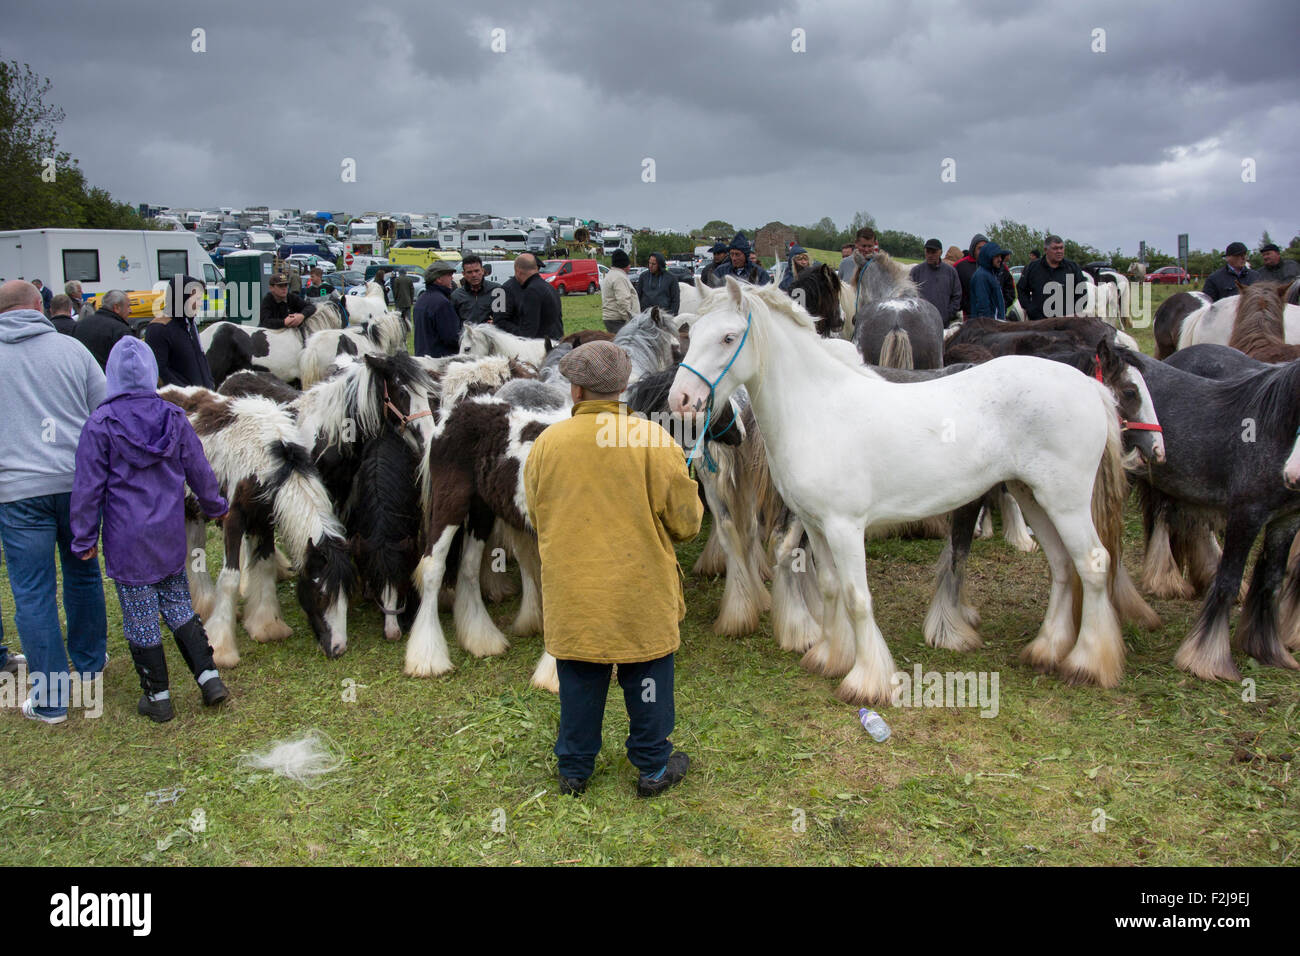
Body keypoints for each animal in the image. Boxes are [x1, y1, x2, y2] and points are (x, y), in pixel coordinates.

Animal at [159, 387, 355, 668]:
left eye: (346, 593)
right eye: (321, 594)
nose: (338, 648)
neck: (264, 460)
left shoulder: (263, 520)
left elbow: (264, 565)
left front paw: (266, 625)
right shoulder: (233, 519)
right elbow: (230, 578)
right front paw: (221, 648)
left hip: (193, 511)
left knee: (194, 552)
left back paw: (204, 605)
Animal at [670, 278, 1131, 704]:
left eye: (728, 337)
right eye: (691, 332)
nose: (681, 399)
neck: (819, 408)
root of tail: (1091, 387)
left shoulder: (844, 528)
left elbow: (857, 597)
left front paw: (867, 682)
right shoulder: (815, 527)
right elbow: (830, 588)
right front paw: (830, 657)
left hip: (1066, 502)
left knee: (1092, 563)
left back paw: (1088, 663)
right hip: (1032, 495)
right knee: (1062, 565)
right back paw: (1046, 649)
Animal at [1124, 345, 1300, 679]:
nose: (1292, 475)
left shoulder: (1286, 521)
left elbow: (1272, 581)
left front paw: (1268, 649)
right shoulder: (1247, 515)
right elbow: (1227, 582)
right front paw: (1207, 660)